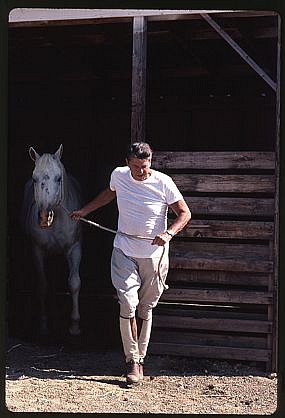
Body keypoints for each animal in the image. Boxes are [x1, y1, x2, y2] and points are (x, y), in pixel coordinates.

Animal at [21, 144, 82, 336]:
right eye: (34, 178)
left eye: (58, 178)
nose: (43, 217)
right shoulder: (37, 251)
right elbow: (42, 286)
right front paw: (43, 324)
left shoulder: (74, 248)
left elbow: (74, 283)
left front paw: (75, 325)